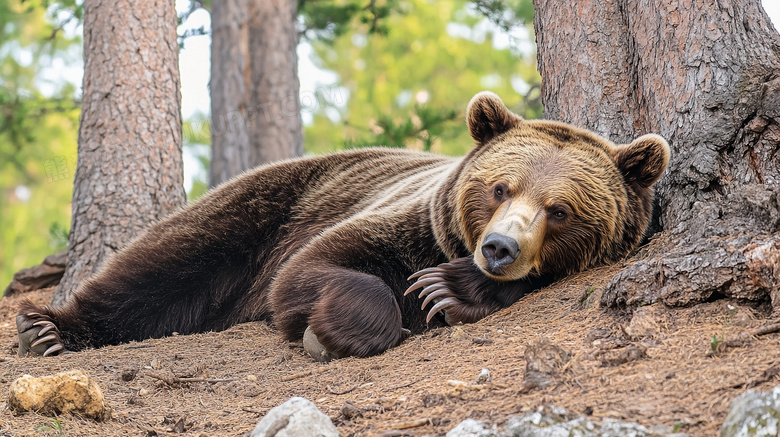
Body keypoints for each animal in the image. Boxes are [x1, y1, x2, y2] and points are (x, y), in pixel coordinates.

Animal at [15, 91, 668, 358]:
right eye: (499, 187)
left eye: (560, 210)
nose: (499, 247)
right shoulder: (391, 222)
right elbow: (318, 268)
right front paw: (335, 330)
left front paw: (446, 289)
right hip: (267, 206)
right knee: (165, 261)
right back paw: (49, 329)